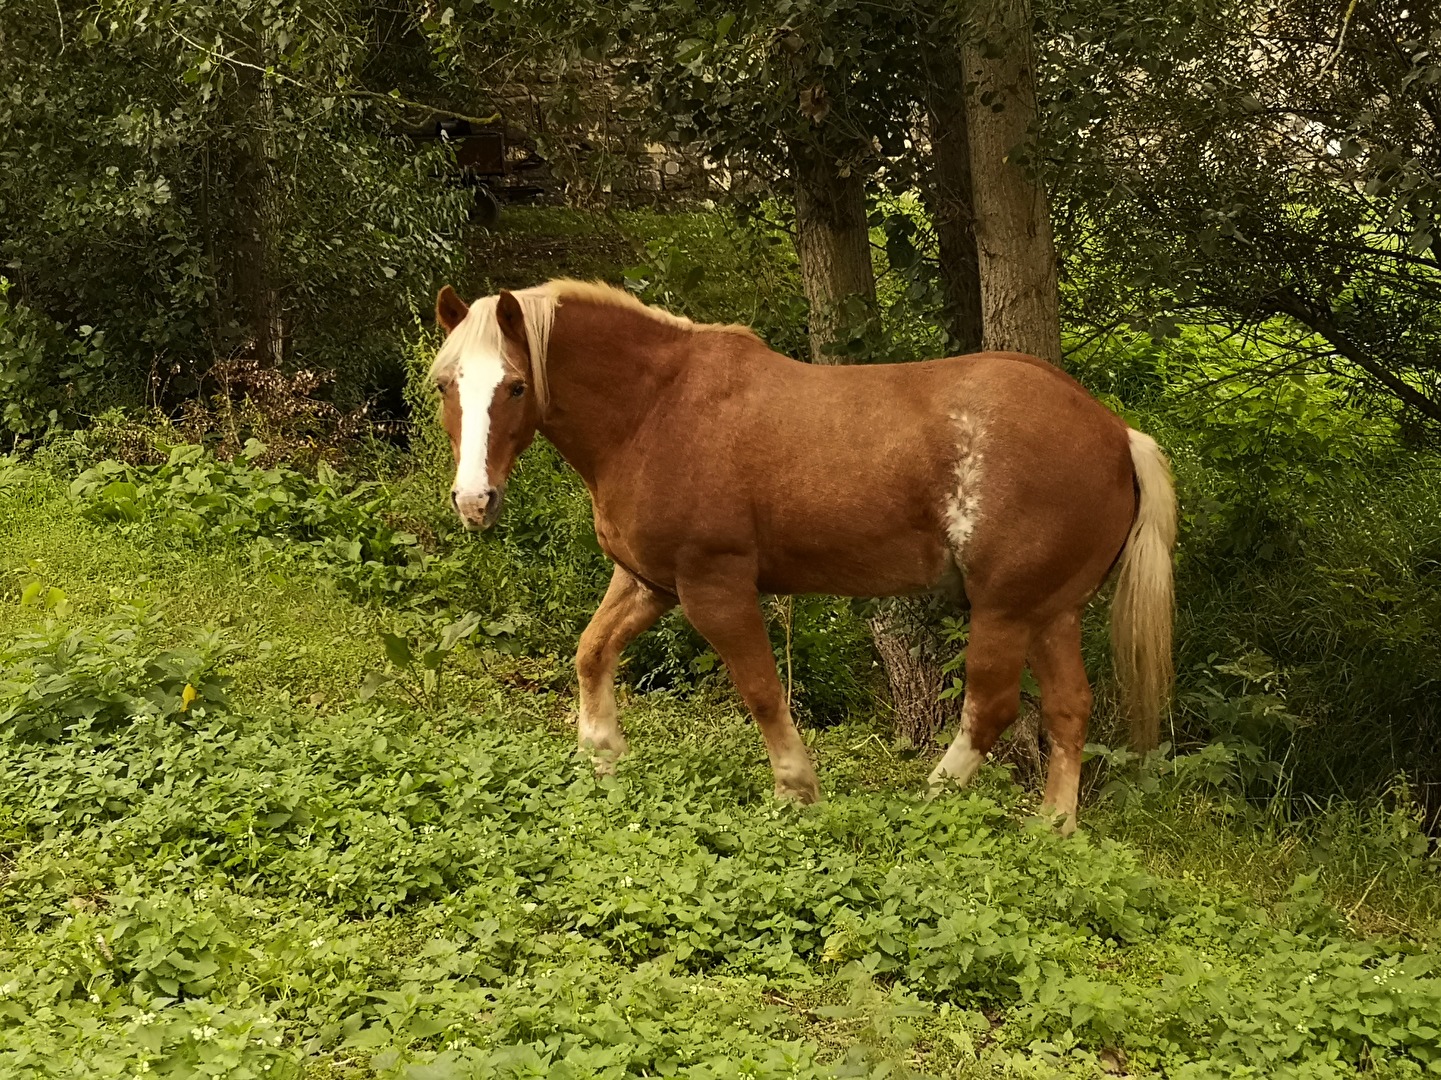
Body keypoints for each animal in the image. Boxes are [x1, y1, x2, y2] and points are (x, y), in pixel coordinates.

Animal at [432, 275, 1175, 824]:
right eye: (445, 384)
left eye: (515, 386)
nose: (474, 500)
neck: (656, 410)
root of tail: (1115, 434)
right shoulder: (650, 582)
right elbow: (591, 652)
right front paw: (603, 756)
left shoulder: (714, 586)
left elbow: (762, 690)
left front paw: (796, 789)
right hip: (1052, 612)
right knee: (1068, 709)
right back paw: (1054, 828)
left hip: (1005, 609)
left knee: (989, 709)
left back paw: (926, 801)